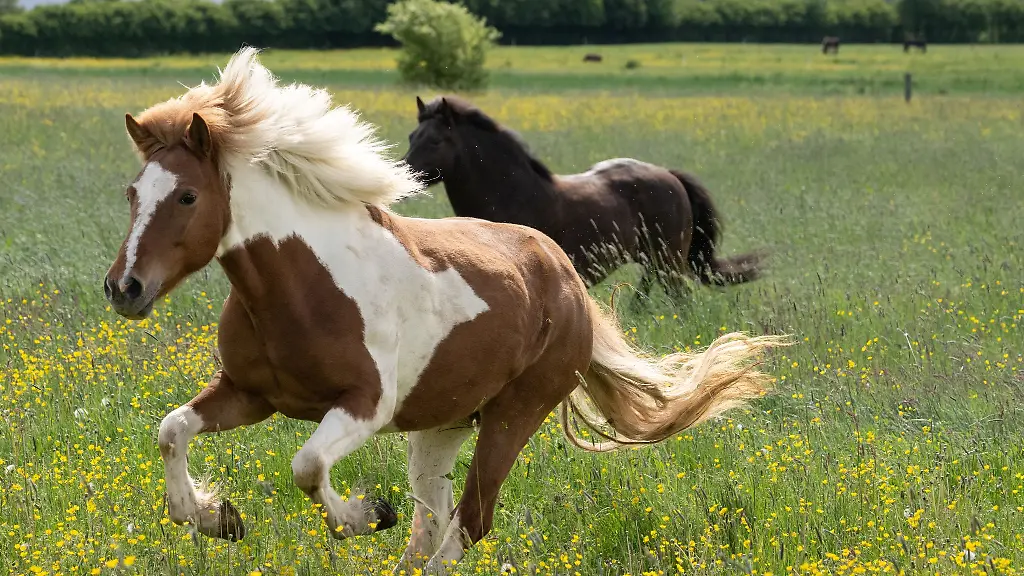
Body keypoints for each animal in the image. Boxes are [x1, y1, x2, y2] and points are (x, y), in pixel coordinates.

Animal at [403, 96, 765, 297]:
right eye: (411, 135)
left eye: (435, 140)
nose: (402, 178)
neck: (512, 194)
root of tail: (669, 176)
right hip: (651, 262)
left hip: (668, 261)